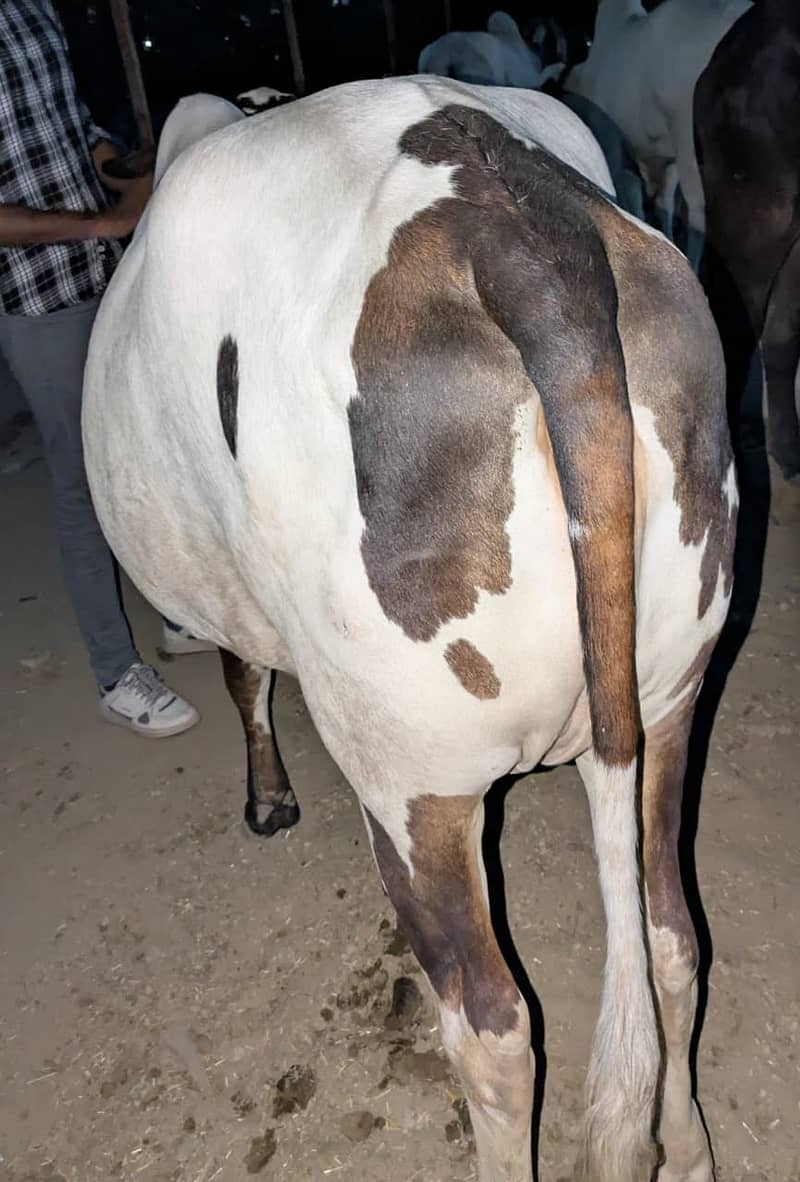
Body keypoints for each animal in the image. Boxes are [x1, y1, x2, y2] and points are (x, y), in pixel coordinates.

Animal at [83, 77, 736, 1182]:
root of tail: (516, 223)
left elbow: (243, 678)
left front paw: (267, 801)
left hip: (406, 771)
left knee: (494, 1025)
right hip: (668, 690)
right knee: (670, 935)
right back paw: (685, 1146)